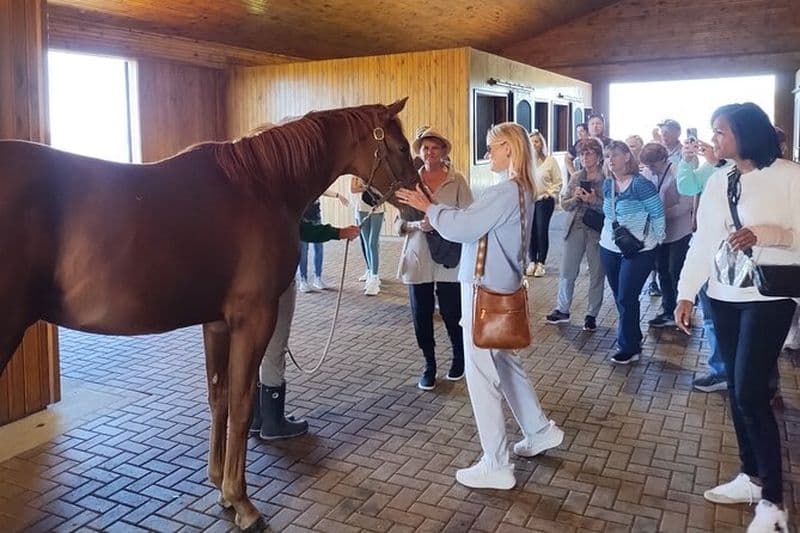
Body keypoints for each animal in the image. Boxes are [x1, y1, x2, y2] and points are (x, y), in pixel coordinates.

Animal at [0, 98, 420, 531]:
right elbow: (242, 402)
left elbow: (218, 396)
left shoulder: (216, 324)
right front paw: (242, 501)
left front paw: (219, 483)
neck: (262, 186)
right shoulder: (253, 319)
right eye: (401, 147)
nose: (414, 210)